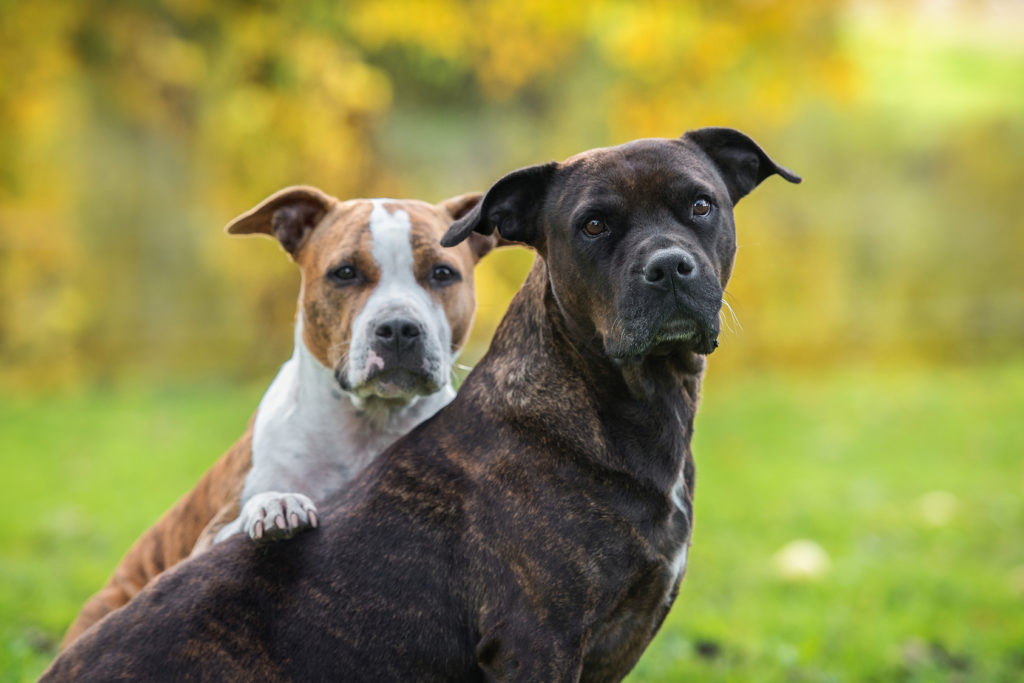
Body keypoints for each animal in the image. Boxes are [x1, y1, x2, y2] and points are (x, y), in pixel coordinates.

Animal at [58, 185, 491, 647]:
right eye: (345, 272)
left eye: (443, 273)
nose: (397, 328)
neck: (369, 426)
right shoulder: (208, 541)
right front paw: (277, 504)